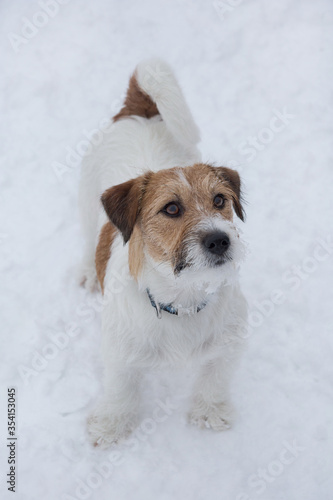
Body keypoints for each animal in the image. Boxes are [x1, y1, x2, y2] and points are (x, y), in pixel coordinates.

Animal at [79, 58, 246, 446]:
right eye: (171, 209)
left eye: (220, 200)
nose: (220, 240)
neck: (183, 299)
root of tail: (138, 110)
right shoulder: (119, 353)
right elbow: (120, 389)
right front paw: (112, 425)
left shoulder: (229, 345)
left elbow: (215, 379)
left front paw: (210, 412)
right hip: (85, 199)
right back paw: (86, 271)